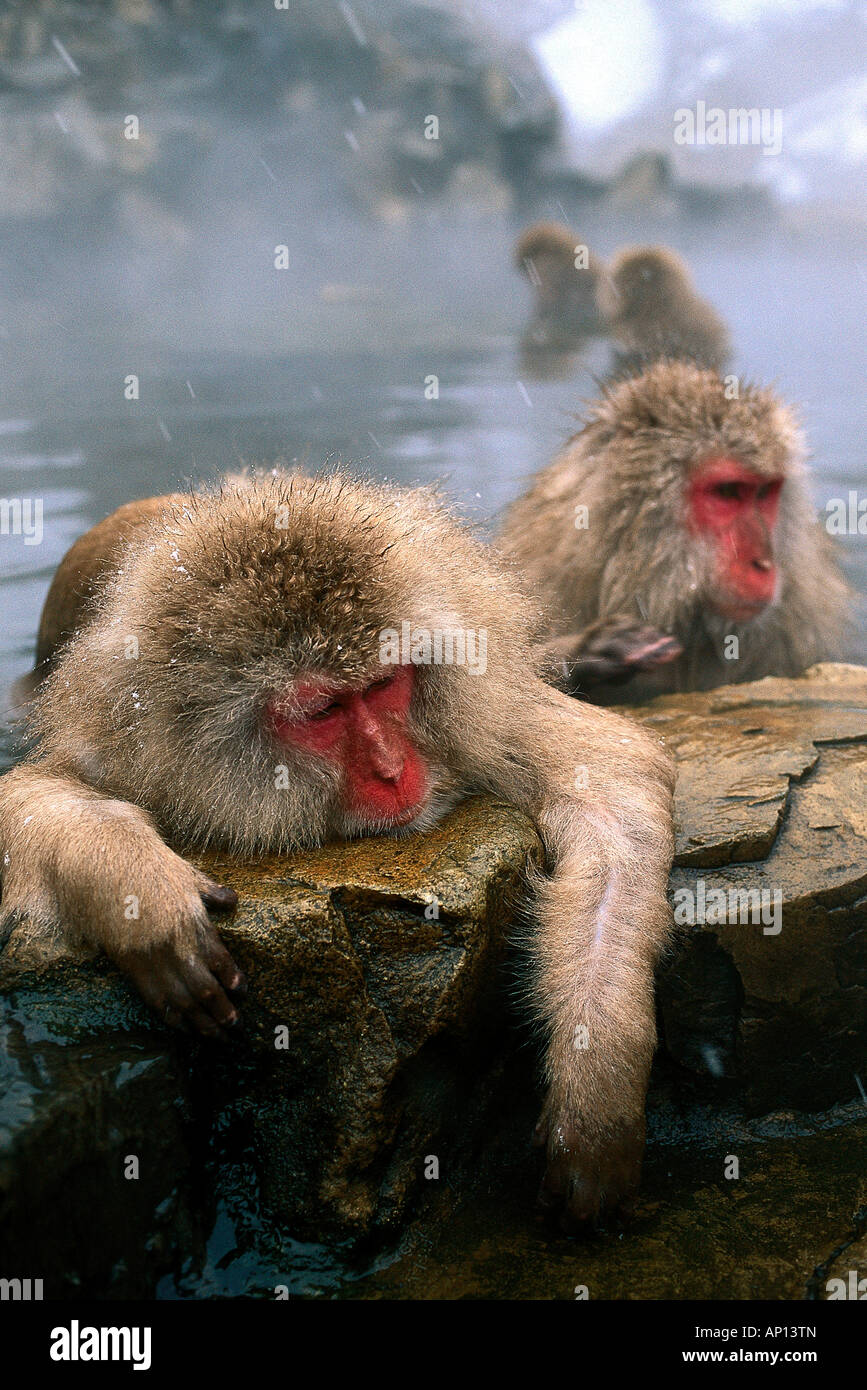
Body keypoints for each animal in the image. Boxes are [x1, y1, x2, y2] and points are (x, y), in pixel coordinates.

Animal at [0, 472, 675, 1229]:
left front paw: (597, 1087)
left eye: (384, 685)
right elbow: (28, 793)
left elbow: (615, 782)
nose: (392, 769)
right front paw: (141, 895)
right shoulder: (134, 753)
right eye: (322, 712)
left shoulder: (480, 717)